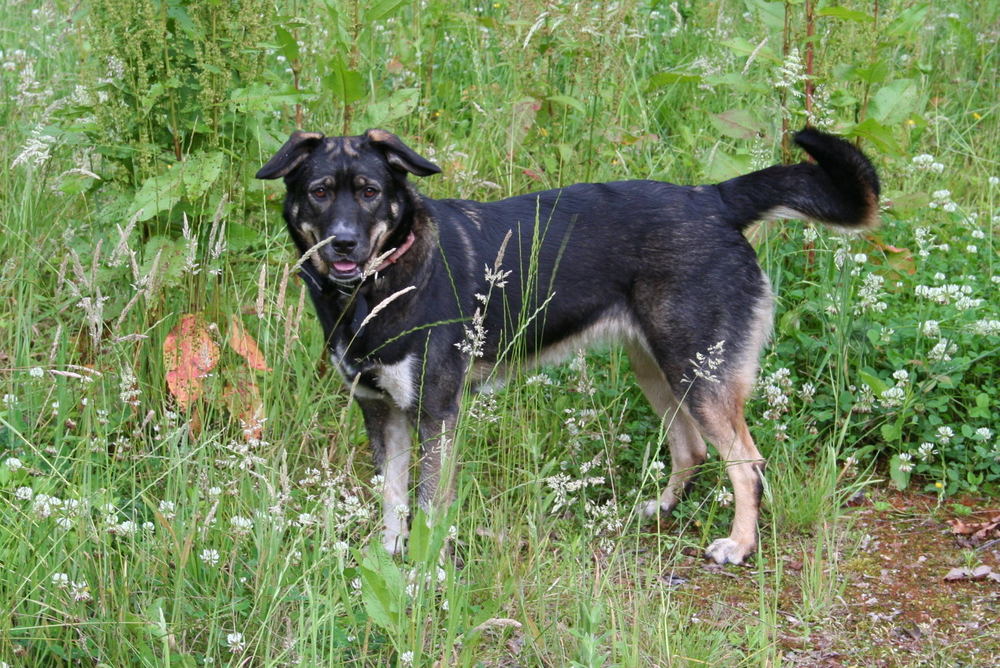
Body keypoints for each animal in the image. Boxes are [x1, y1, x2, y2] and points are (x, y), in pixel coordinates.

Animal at [254, 126, 880, 564]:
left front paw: (425, 569)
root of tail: (713, 199)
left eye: (369, 192)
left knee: (747, 465)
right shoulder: (380, 409)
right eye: (319, 192)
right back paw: (662, 507)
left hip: (698, 370)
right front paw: (389, 555)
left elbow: (428, 505)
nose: (343, 243)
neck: (378, 288)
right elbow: (393, 496)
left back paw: (740, 545)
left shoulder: (436, 412)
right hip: (658, 366)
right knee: (693, 448)